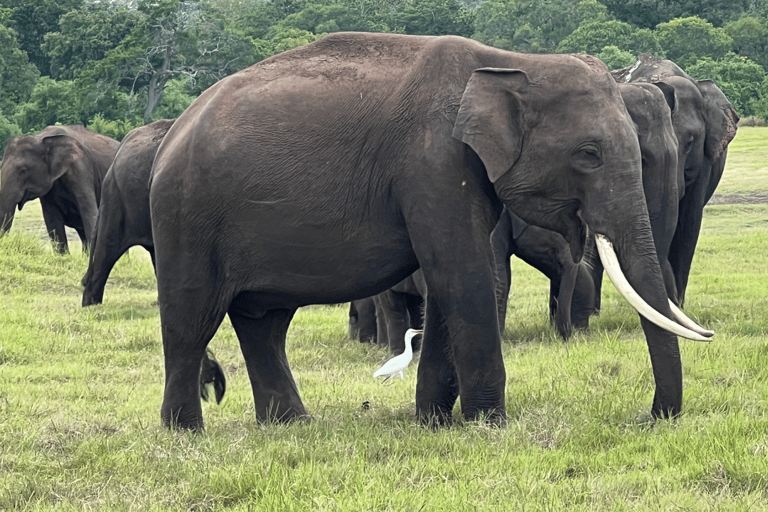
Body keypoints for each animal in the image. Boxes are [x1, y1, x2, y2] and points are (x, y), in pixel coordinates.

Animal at [152, 32, 712, 430]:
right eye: (589, 154)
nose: (651, 417)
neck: (510, 61)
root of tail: (173, 133)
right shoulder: (433, 162)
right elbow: (462, 275)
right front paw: (489, 424)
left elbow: (447, 281)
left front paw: (435, 422)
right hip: (186, 219)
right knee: (192, 320)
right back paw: (185, 432)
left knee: (264, 321)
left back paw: (291, 425)